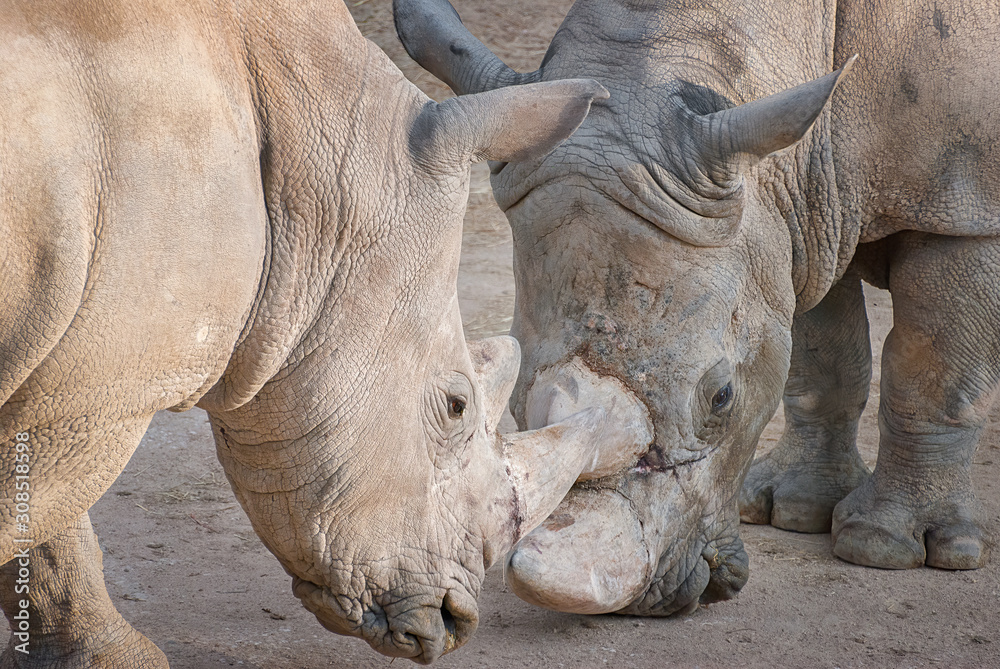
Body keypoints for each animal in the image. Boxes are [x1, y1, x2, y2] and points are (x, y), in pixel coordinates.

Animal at [0, 0, 616, 664]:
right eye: (456, 406)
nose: (456, 620)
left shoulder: (74, 375)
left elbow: (48, 526)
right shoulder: (102, 388)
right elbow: (38, 512)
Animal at [394, 0, 996, 616]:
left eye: (722, 398)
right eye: (513, 399)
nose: (638, 606)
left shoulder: (960, 208)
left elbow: (932, 375)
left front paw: (882, 547)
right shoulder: (804, 208)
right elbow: (822, 358)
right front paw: (794, 512)